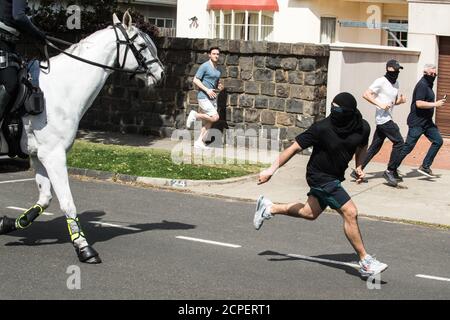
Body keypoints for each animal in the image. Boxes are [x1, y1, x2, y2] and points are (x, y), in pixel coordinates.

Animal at [0, 11, 164, 264]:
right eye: (142, 46)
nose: (161, 74)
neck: (61, 90)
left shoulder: (39, 156)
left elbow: (45, 198)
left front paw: (9, 223)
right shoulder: (54, 156)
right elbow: (67, 203)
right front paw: (84, 247)